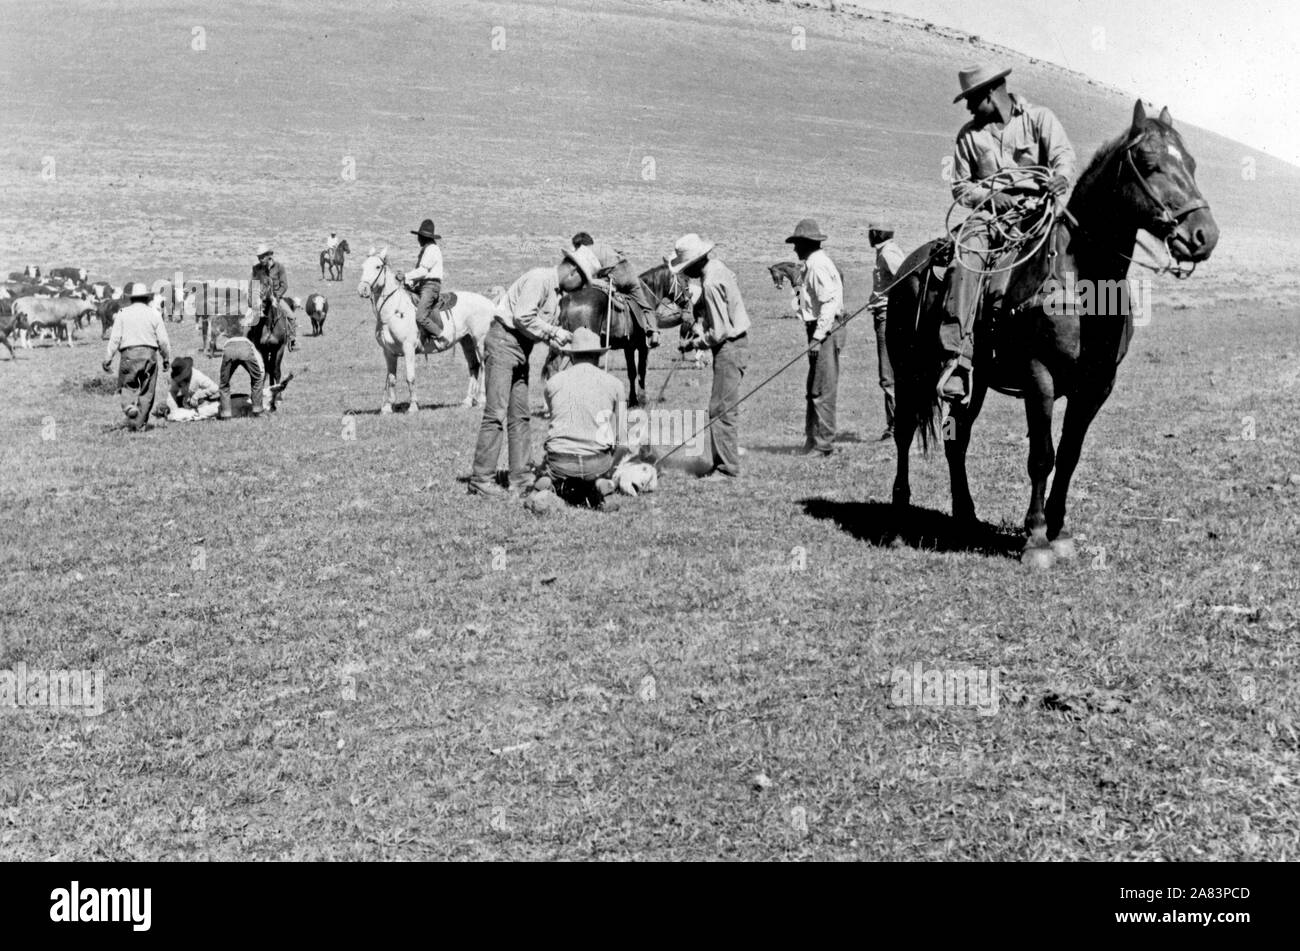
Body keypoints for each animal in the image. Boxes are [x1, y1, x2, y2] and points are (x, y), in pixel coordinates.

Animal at [358, 249, 493, 413]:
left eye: (377, 266)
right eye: (363, 266)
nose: (362, 289)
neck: (394, 311)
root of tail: (490, 303)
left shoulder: (408, 348)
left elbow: (410, 377)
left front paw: (413, 407)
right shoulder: (388, 352)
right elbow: (391, 379)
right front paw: (388, 408)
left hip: (480, 341)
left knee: (484, 366)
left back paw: (482, 400)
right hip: (466, 341)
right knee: (474, 366)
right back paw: (467, 401)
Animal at [551, 259, 696, 405]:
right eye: (684, 280)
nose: (689, 302)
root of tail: (568, 300)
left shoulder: (628, 347)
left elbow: (631, 372)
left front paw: (633, 400)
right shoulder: (643, 347)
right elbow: (641, 371)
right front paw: (642, 399)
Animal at [883, 101, 1216, 569]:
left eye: (1191, 163)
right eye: (1150, 165)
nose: (1204, 235)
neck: (1083, 284)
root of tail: (908, 268)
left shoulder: (1096, 385)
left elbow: (1070, 455)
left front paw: (1060, 533)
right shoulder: (1038, 375)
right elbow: (1042, 456)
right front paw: (1036, 539)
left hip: (974, 382)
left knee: (957, 439)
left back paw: (966, 517)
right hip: (908, 369)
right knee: (904, 431)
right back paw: (898, 518)